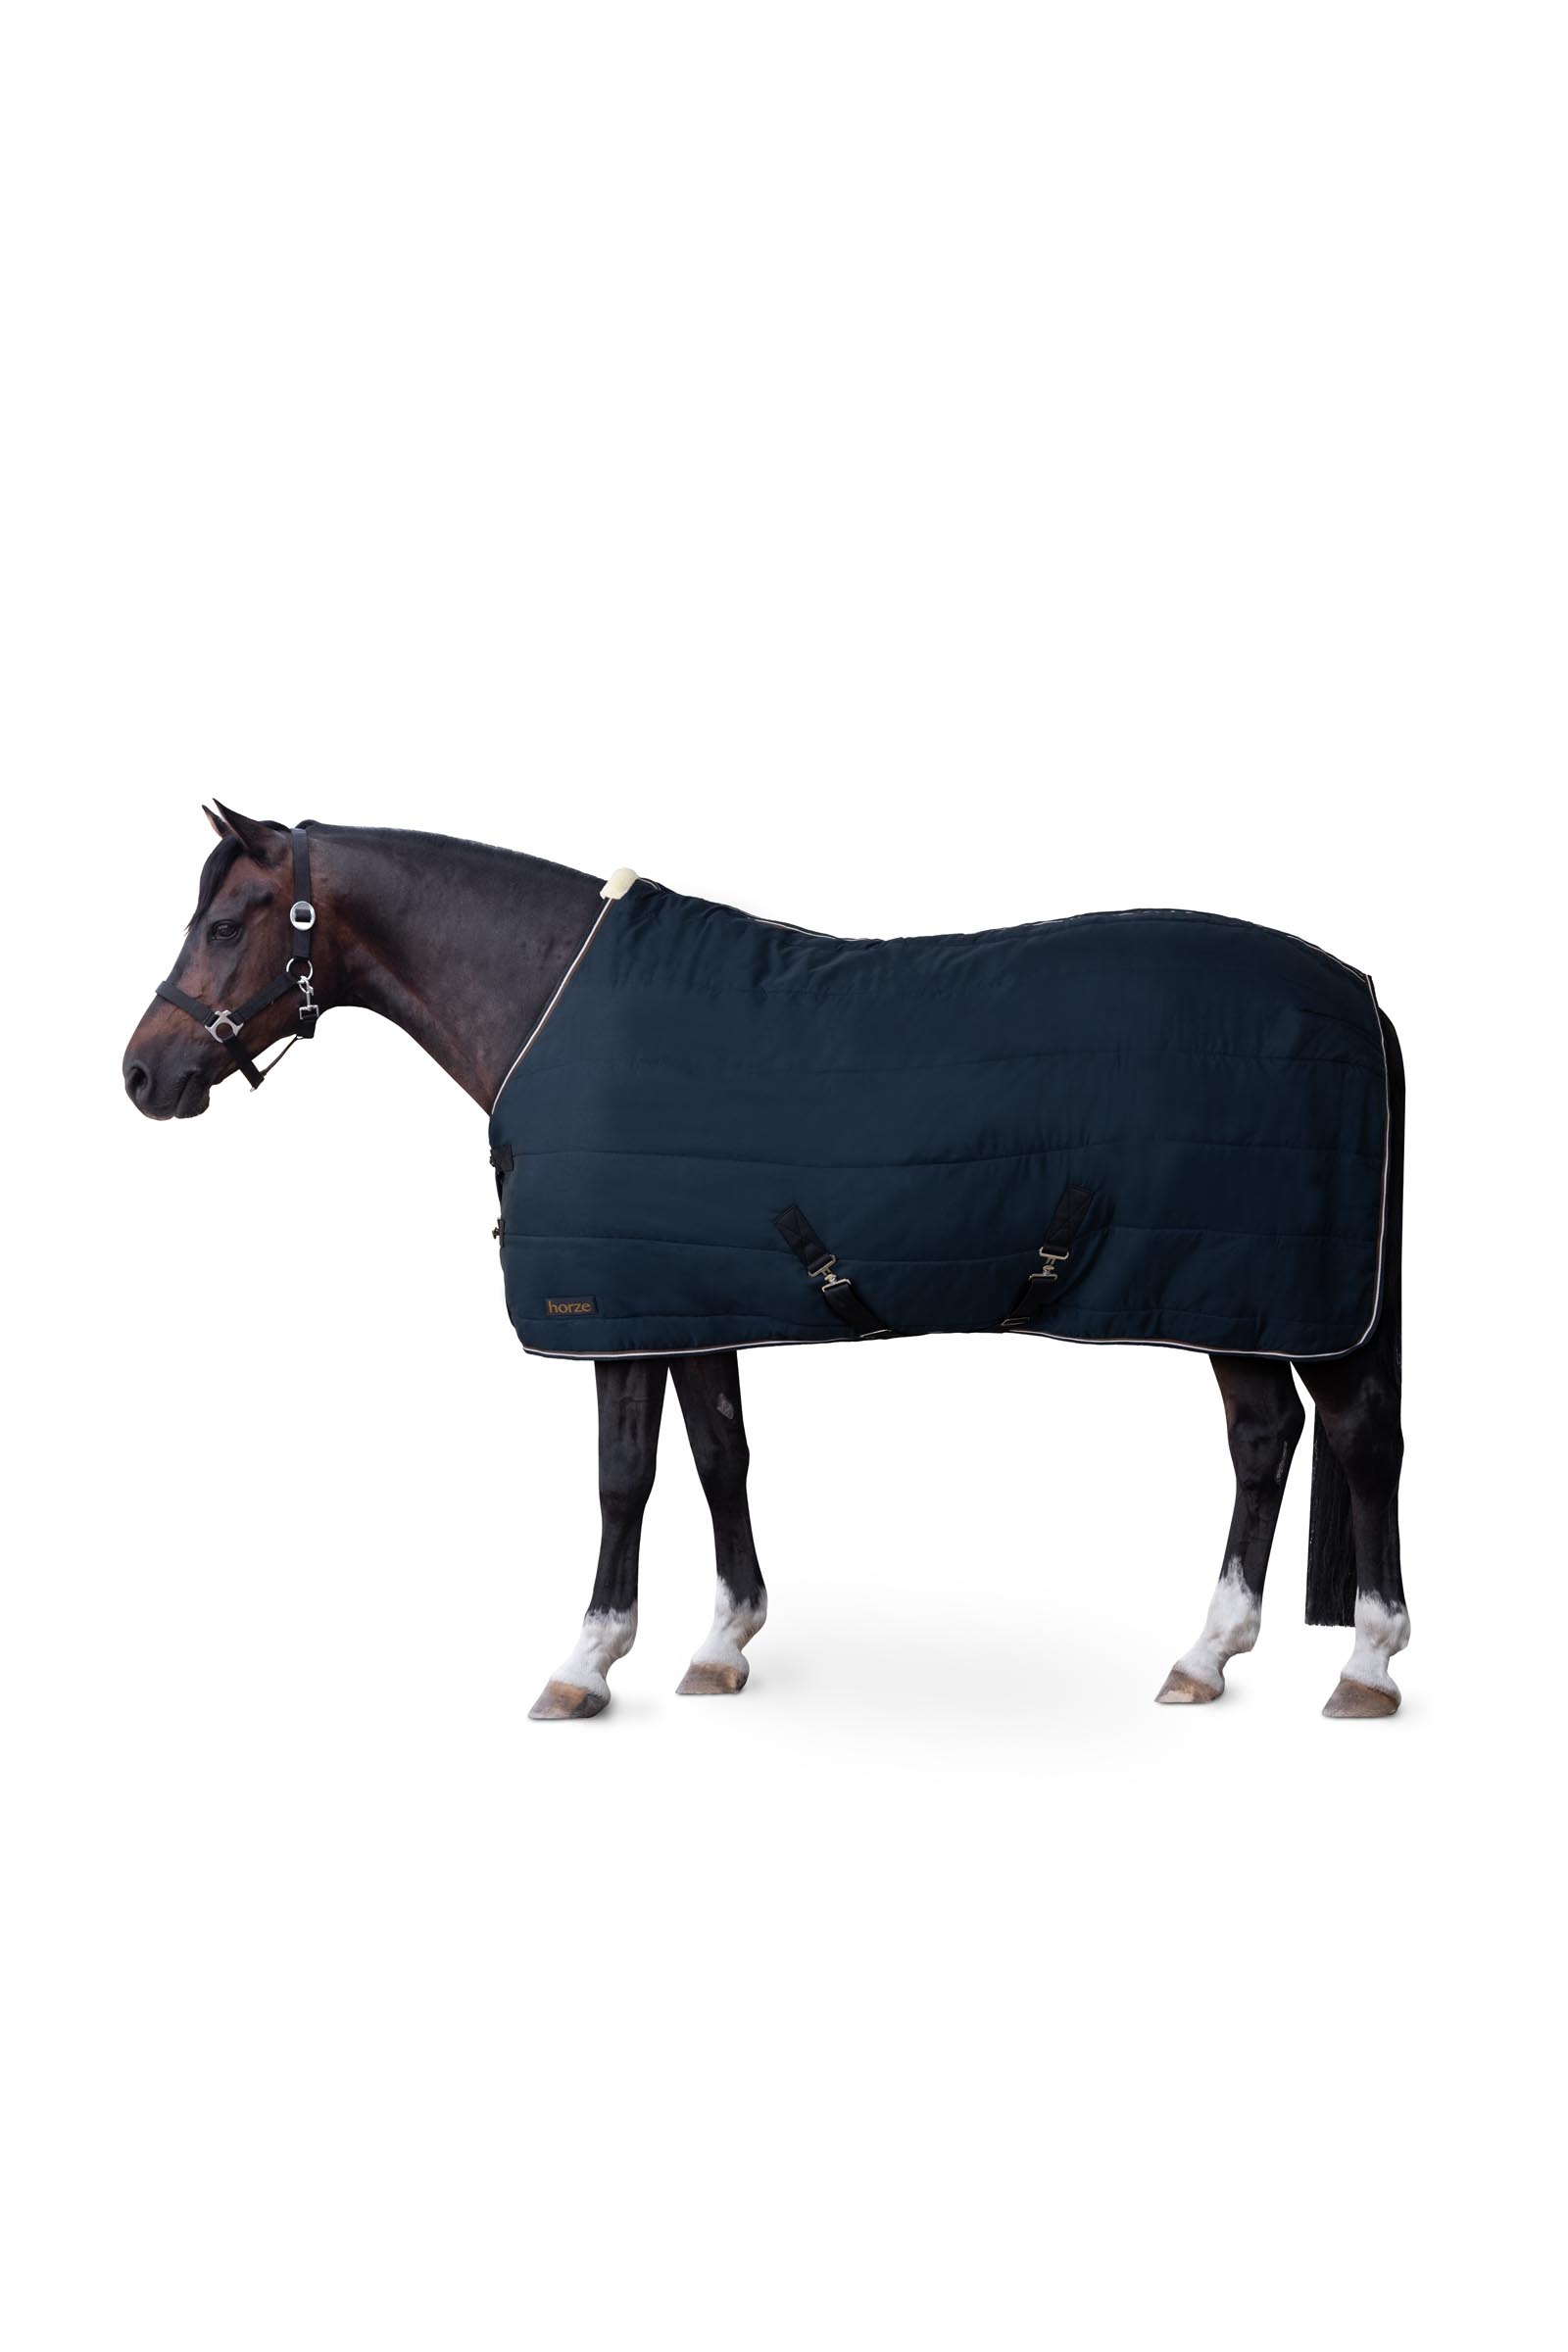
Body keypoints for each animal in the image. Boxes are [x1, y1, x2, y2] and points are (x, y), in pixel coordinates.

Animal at [122, 805, 1409, 1721]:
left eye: (227, 924)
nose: (143, 1073)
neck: (554, 1004)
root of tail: (1357, 993)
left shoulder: (612, 1310)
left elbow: (624, 1476)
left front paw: (586, 1662)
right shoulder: (686, 1300)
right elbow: (719, 1458)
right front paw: (721, 1644)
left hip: (1275, 1294)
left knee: (1356, 1441)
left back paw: (1367, 1664)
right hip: (1237, 1296)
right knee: (1264, 1440)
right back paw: (1208, 1654)